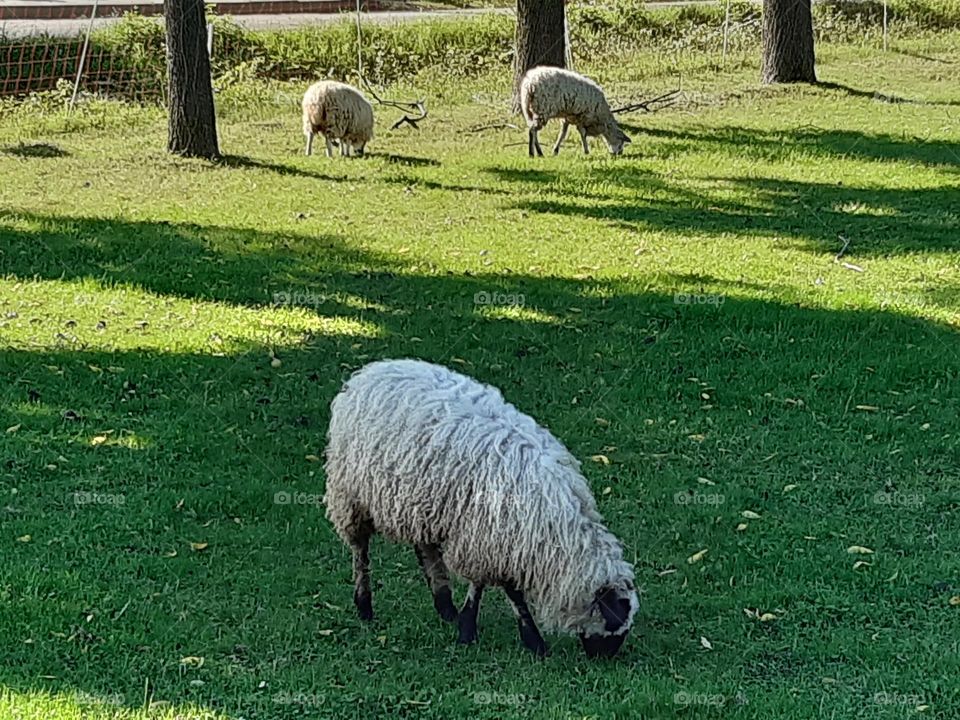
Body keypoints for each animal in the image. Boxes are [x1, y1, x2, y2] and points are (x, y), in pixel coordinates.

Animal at [324, 359, 638, 658]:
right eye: (614, 622)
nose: (603, 659)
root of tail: (370, 371)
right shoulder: (485, 535)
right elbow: (500, 588)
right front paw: (504, 636)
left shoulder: (502, 539)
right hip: (350, 494)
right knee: (360, 549)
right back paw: (364, 605)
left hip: (419, 503)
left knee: (424, 549)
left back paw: (444, 605)